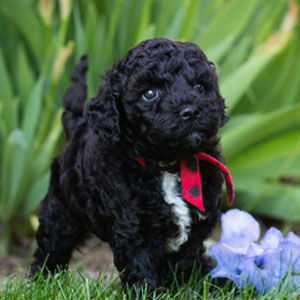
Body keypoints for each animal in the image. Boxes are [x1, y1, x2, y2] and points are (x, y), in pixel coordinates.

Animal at [30, 37, 232, 292]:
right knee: (52, 245)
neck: (169, 164)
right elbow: (140, 269)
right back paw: (41, 281)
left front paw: (206, 283)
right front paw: (150, 293)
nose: (191, 111)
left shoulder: (195, 228)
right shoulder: (134, 231)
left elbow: (187, 260)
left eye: (199, 87)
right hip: (62, 208)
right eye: (149, 93)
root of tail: (76, 128)